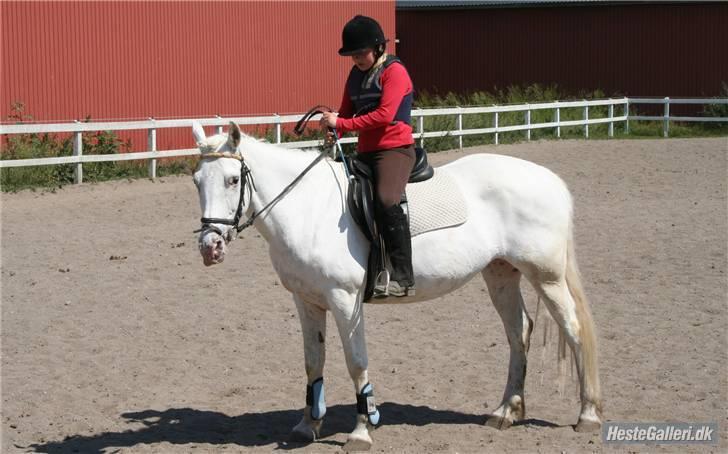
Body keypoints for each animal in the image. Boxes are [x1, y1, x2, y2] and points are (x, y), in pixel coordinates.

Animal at [191, 121, 600, 450]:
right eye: (197, 181)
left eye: (232, 179)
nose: (210, 247)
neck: (308, 208)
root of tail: (550, 180)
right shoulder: (307, 301)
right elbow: (312, 362)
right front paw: (308, 425)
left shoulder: (345, 300)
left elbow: (356, 362)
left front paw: (361, 431)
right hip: (500, 273)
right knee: (519, 333)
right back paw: (505, 412)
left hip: (546, 277)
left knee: (574, 331)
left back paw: (588, 415)